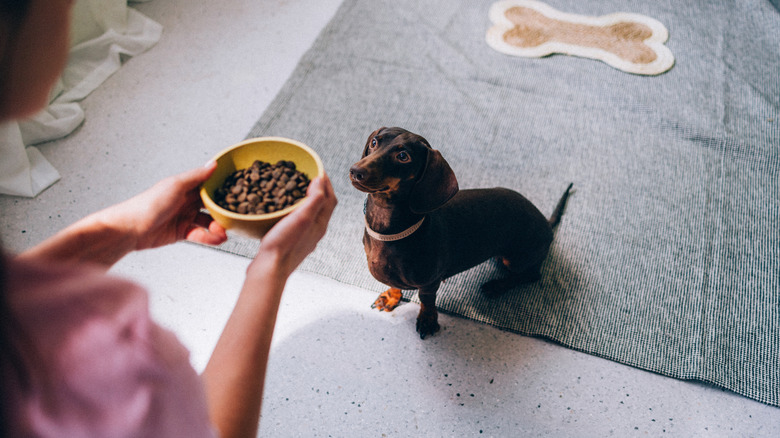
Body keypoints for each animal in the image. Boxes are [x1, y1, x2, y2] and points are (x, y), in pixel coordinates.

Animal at [348, 126, 572, 338]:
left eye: (403, 156)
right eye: (374, 142)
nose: (355, 170)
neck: (387, 231)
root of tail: (546, 222)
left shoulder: (429, 283)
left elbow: (427, 301)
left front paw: (427, 320)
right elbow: (395, 284)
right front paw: (391, 297)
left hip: (517, 259)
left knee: (531, 275)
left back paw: (496, 286)